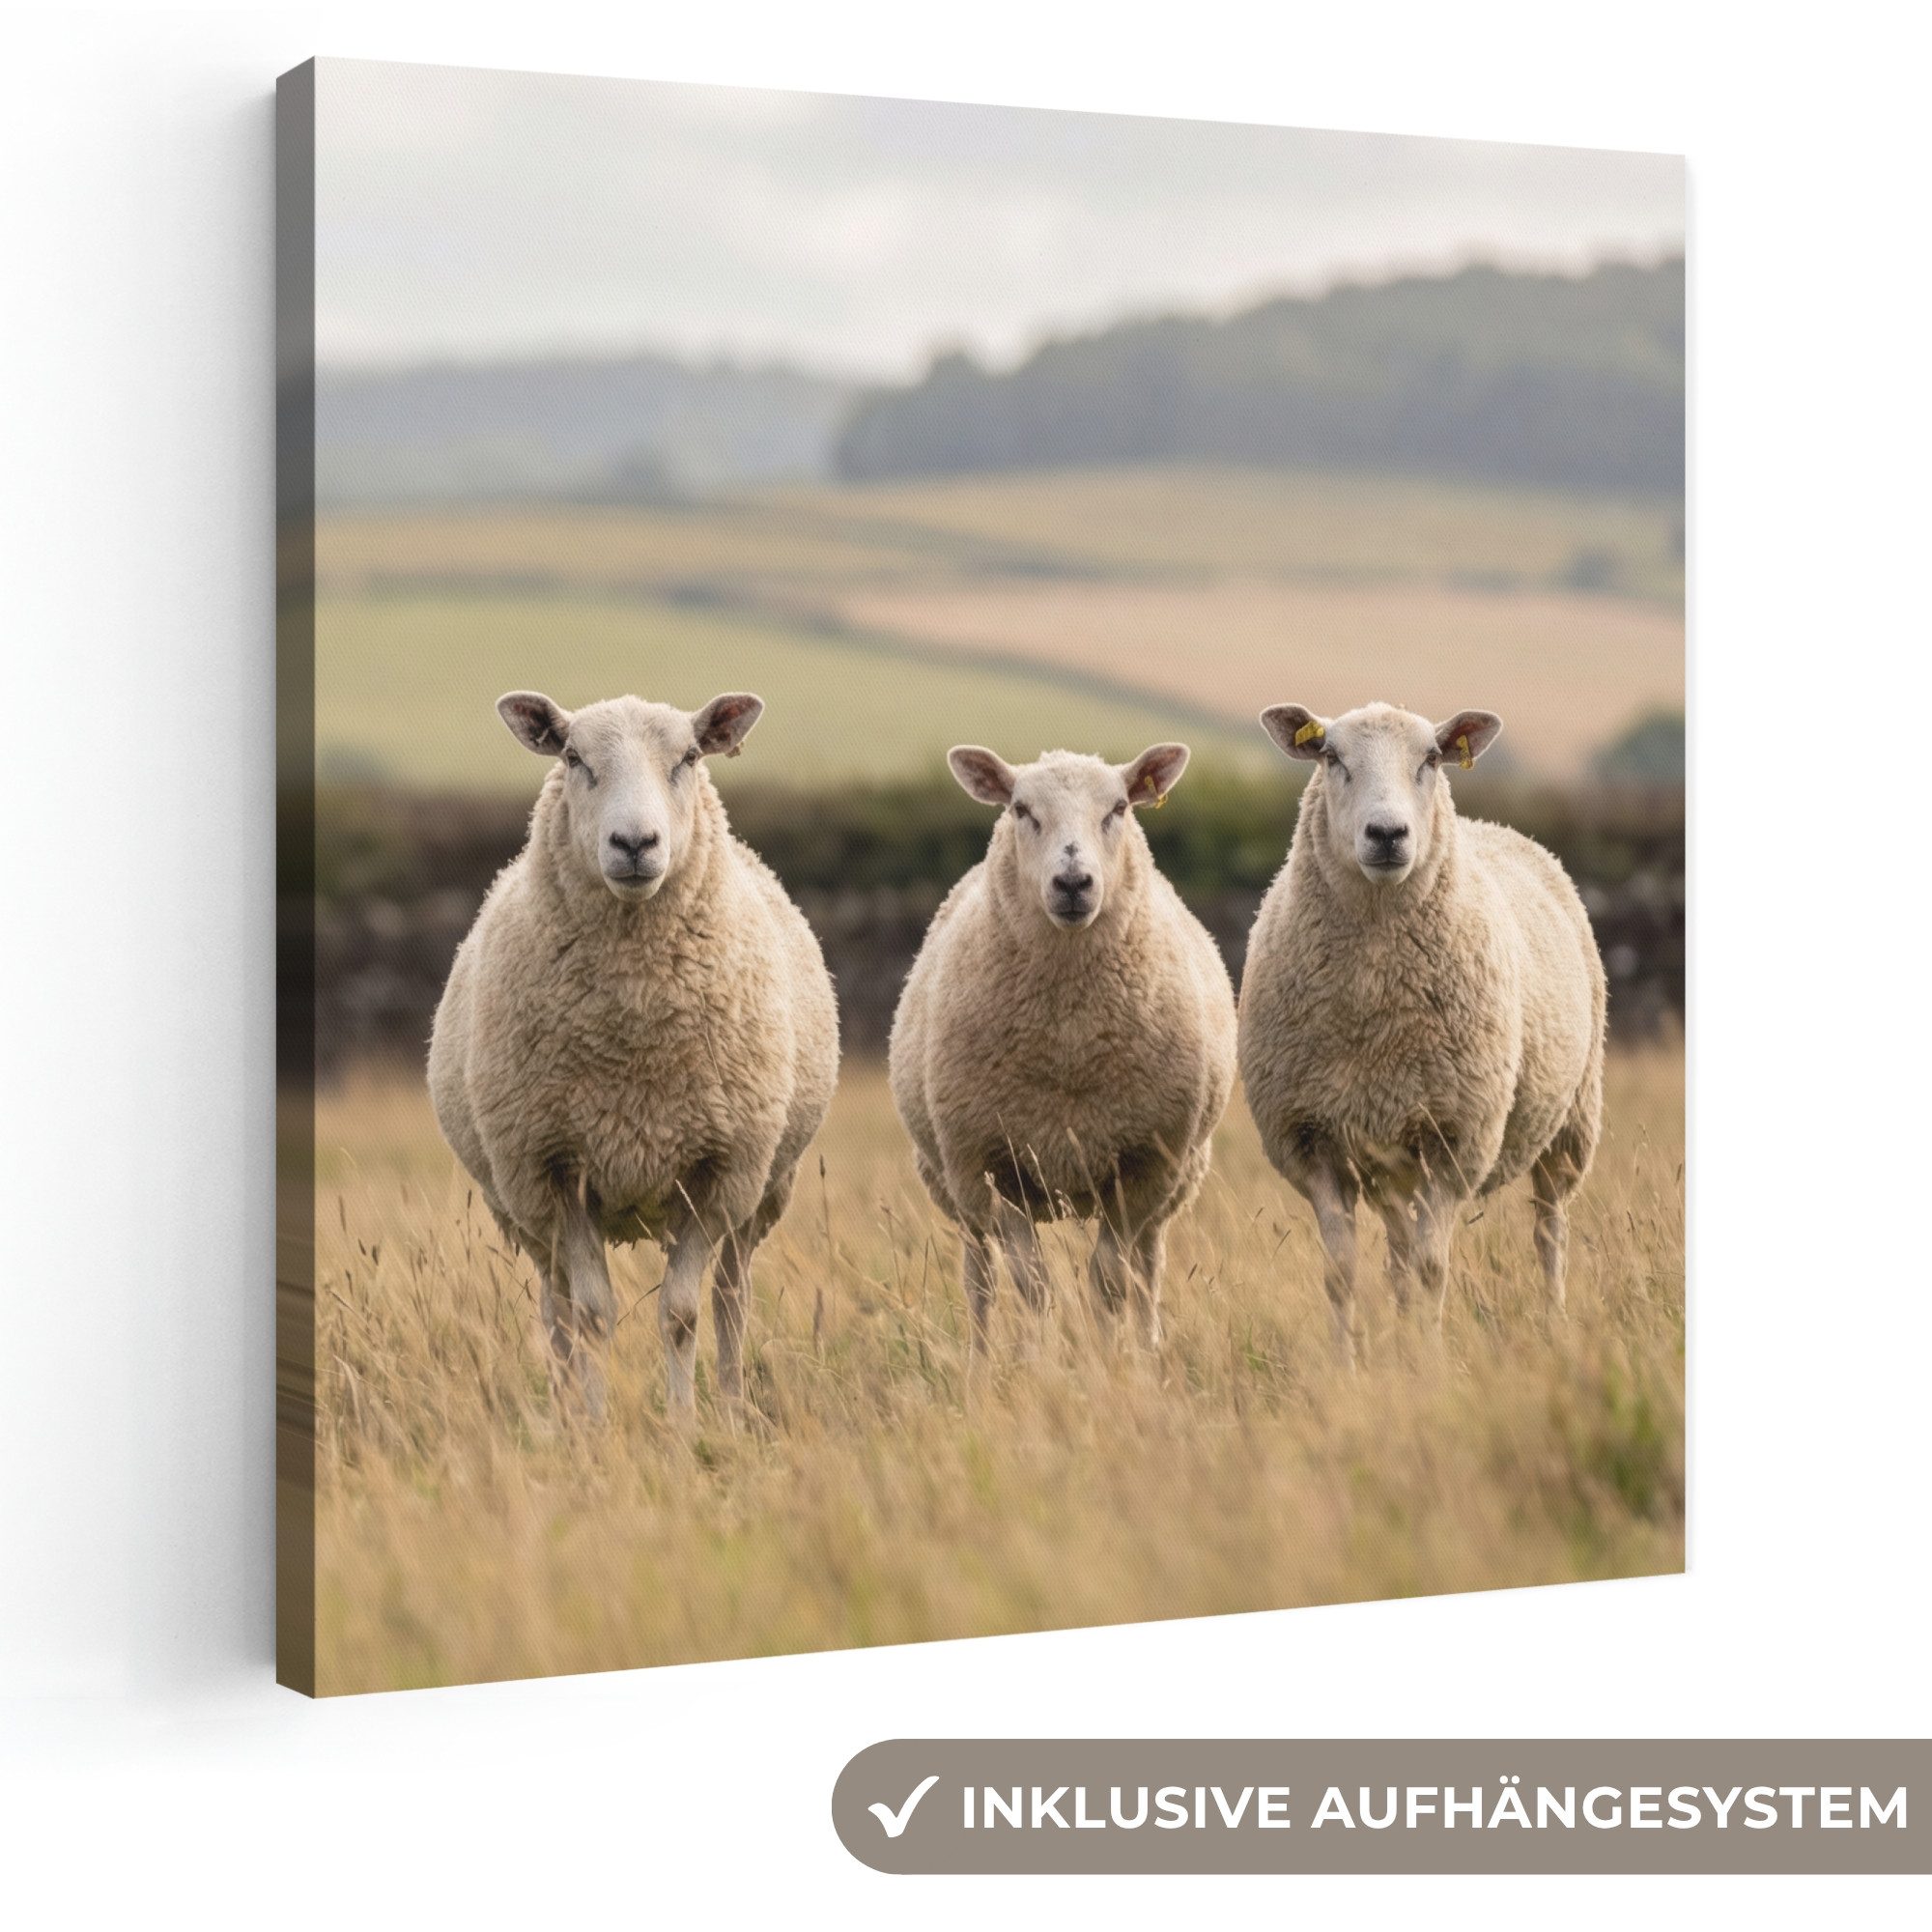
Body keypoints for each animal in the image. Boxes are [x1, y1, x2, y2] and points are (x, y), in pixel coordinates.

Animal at [427, 688, 838, 1423]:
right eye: (572, 756)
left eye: (689, 757)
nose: (635, 843)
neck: (634, 1031)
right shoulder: (555, 1167)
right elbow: (591, 1315)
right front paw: (593, 1425)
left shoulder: (716, 1168)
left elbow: (680, 1313)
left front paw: (682, 1426)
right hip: (518, 1203)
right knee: (556, 1306)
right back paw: (565, 1410)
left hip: (764, 1185)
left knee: (732, 1294)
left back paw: (732, 1405)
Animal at [888, 743, 1237, 1349]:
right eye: (1021, 809)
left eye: (1119, 807)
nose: (1074, 883)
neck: (1069, 1040)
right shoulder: (993, 1164)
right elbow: (1032, 1283)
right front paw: (1038, 1357)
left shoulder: (1142, 1166)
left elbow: (1110, 1279)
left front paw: (1110, 1355)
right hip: (953, 1183)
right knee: (979, 1277)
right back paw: (979, 1359)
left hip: (1175, 1180)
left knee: (1148, 1267)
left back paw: (1149, 1347)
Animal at [1237, 700, 1606, 1360]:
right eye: (1330, 756)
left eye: (1431, 759)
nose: (1387, 835)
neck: (1375, 1003)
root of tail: (1499, 826)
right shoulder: (1313, 1140)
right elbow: (1342, 1270)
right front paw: (1347, 1364)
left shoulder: (1457, 1138)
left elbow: (1436, 1266)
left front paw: (1429, 1361)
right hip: (1390, 1158)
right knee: (1399, 1250)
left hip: (1571, 1123)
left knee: (1549, 1229)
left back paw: (1553, 1323)